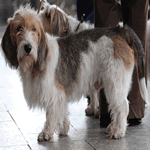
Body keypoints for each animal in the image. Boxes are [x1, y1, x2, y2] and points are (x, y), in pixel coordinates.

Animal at [0, 5, 148, 142]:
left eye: (34, 29)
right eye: (19, 28)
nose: (28, 47)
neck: (37, 59)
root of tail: (120, 30)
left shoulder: (53, 93)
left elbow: (51, 114)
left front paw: (46, 133)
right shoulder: (60, 95)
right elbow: (62, 111)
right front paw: (63, 128)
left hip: (115, 81)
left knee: (123, 106)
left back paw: (118, 131)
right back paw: (113, 126)